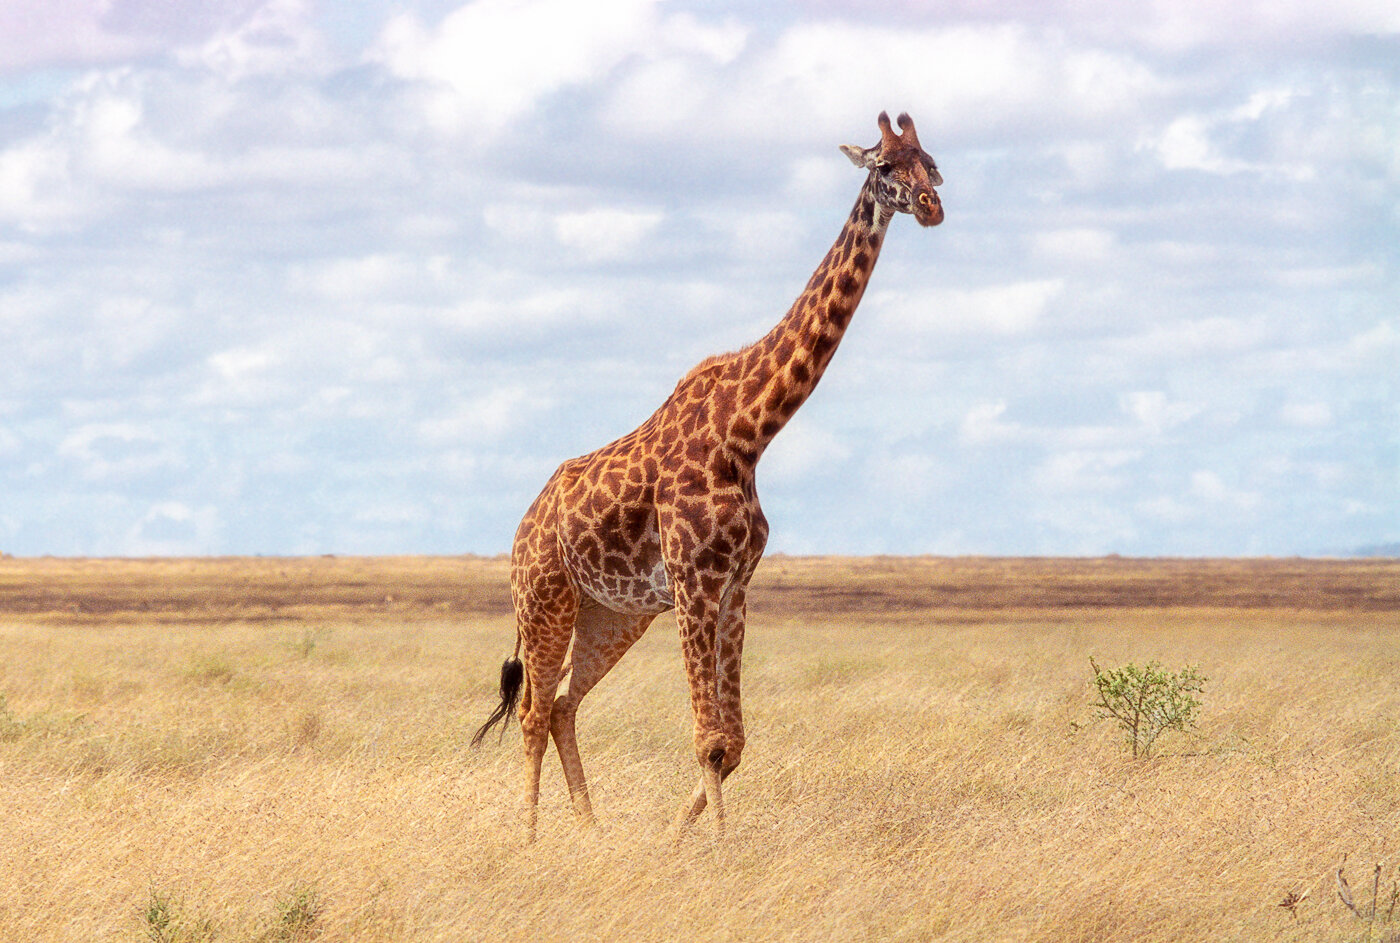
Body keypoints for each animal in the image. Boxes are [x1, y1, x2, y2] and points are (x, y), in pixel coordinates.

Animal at [473, 111, 943, 841]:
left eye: (933, 164)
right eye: (886, 167)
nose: (931, 207)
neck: (747, 435)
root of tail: (523, 527)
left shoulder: (735, 588)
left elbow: (735, 743)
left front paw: (675, 840)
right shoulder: (694, 583)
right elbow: (709, 738)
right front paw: (717, 849)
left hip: (612, 613)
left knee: (562, 705)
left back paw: (591, 831)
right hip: (544, 598)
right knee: (531, 710)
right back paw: (529, 837)